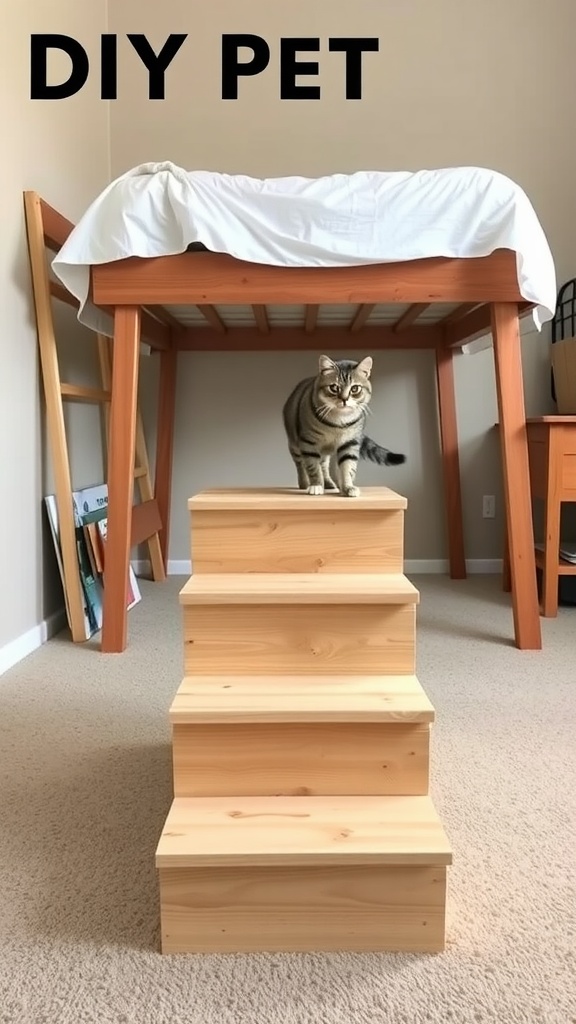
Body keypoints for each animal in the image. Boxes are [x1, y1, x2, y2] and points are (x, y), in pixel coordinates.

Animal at [280, 354, 403, 497]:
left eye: (355, 388)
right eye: (334, 387)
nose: (344, 399)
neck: (337, 423)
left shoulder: (350, 443)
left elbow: (347, 467)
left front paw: (347, 487)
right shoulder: (308, 442)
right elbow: (312, 467)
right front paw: (316, 485)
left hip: (324, 451)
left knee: (324, 464)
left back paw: (328, 483)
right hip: (294, 443)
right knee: (300, 464)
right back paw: (305, 483)